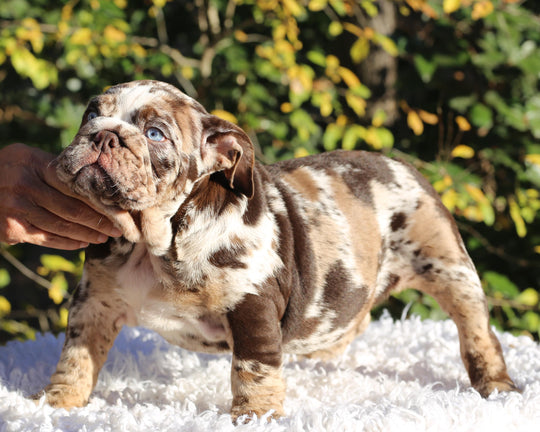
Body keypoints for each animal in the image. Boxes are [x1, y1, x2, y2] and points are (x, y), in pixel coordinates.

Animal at [34, 79, 520, 420]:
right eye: (90, 113)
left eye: (155, 133)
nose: (103, 135)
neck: (156, 241)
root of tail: (402, 165)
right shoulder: (94, 303)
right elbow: (76, 356)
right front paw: (58, 401)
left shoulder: (251, 305)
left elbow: (253, 369)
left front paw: (256, 416)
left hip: (450, 268)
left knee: (478, 332)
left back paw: (497, 386)